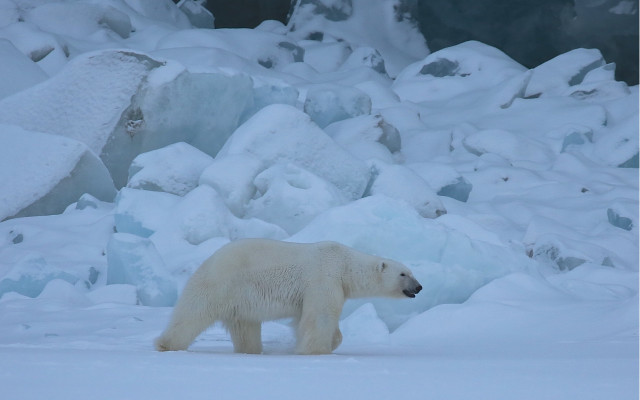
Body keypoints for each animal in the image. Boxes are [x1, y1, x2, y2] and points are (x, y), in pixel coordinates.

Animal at [154, 238, 422, 355]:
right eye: (403, 273)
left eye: (411, 272)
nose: (419, 287)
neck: (344, 264)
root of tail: (207, 261)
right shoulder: (324, 279)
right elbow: (320, 317)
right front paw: (316, 350)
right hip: (221, 284)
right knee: (192, 313)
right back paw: (166, 344)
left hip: (240, 300)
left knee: (246, 327)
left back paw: (251, 351)